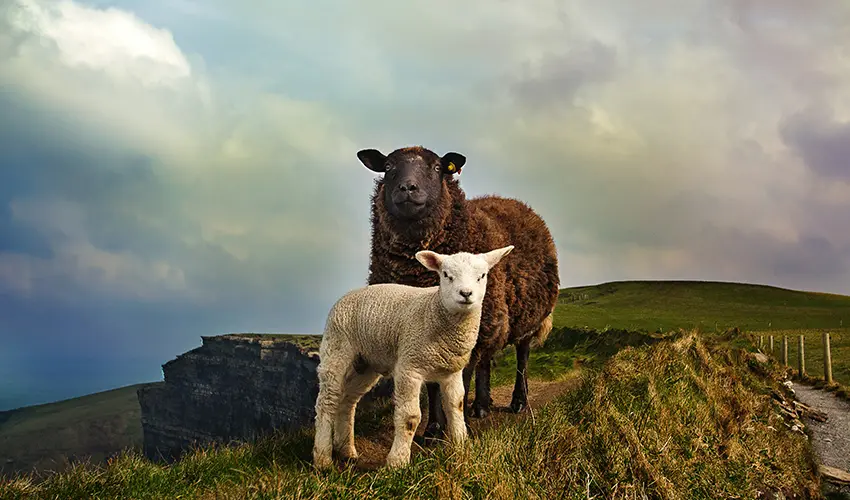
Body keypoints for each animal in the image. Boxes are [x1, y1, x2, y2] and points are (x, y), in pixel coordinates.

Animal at [310, 245, 510, 468]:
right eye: (446, 275)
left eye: (481, 276)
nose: (465, 293)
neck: (434, 311)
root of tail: (347, 294)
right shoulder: (409, 367)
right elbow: (410, 417)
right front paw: (398, 462)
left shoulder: (452, 371)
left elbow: (456, 406)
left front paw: (461, 446)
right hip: (336, 349)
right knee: (327, 401)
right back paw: (323, 458)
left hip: (365, 364)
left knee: (347, 401)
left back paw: (346, 450)